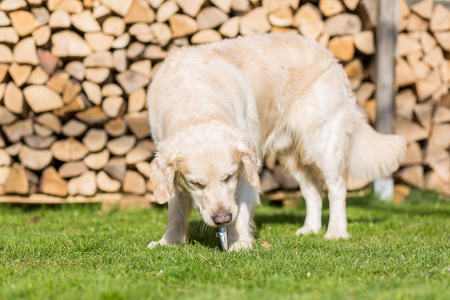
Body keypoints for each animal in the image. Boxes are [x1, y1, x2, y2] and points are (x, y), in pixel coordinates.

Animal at [146, 34, 406, 252]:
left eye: (228, 177)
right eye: (196, 184)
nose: (222, 219)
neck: (194, 101)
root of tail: (330, 56)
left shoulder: (247, 171)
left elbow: (241, 209)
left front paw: (240, 242)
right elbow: (175, 210)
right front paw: (168, 242)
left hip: (321, 142)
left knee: (336, 188)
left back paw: (335, 232)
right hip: (291, 154)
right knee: (313, 190)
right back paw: (310, 228)